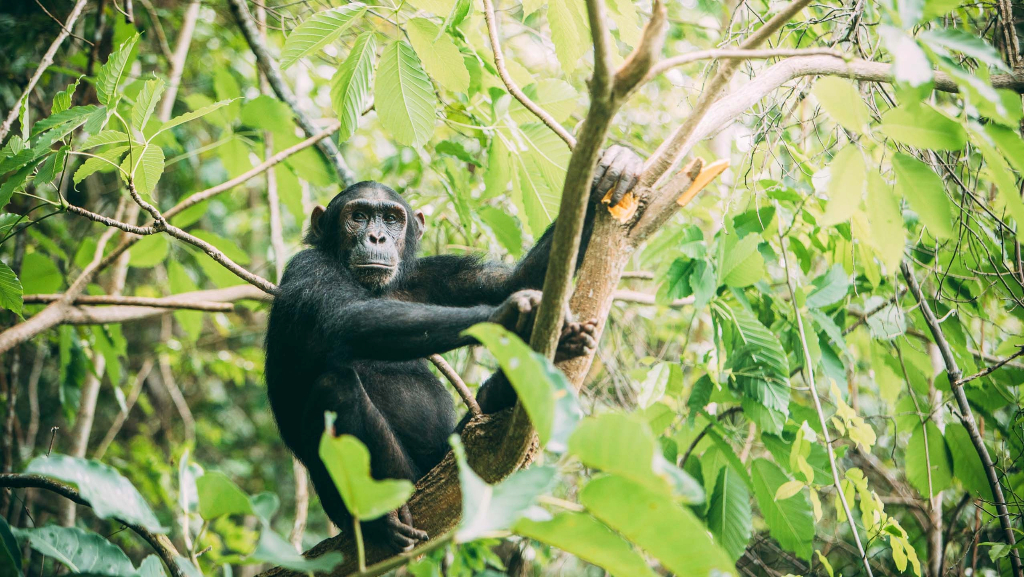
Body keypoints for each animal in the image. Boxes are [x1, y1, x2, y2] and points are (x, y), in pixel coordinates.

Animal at [268, 144, 643, 549]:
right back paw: (380, 519)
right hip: (398, 483)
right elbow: (346, 319)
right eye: (358, 216)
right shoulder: (309, 269)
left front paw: (612, 170)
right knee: (334, 387)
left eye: (391, 219)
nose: (376, 237)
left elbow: (512, 279)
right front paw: (509, 316)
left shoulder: (431, 275)